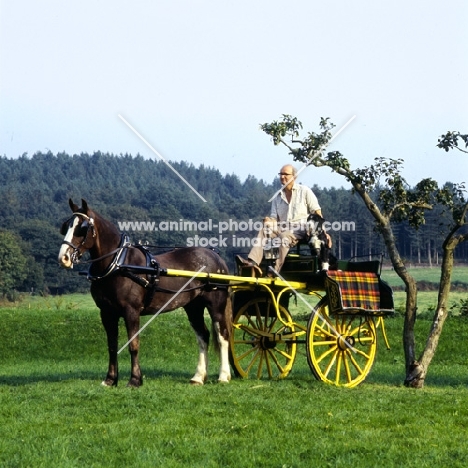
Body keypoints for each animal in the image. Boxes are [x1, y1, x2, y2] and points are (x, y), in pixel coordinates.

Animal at [58, 198, 232, 388]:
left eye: (82, 228)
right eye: (66, 226)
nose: (63, 258)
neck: (119, 264)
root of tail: (216, 256)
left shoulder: (131, 311)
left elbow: (133, 345)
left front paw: (135, 380)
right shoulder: (107, 313)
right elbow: (112, 346)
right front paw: (110, 379)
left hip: (216, 305)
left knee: (222, 336)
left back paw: (224, 376)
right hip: (193, 307)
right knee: (203, 336)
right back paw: (198, 377)